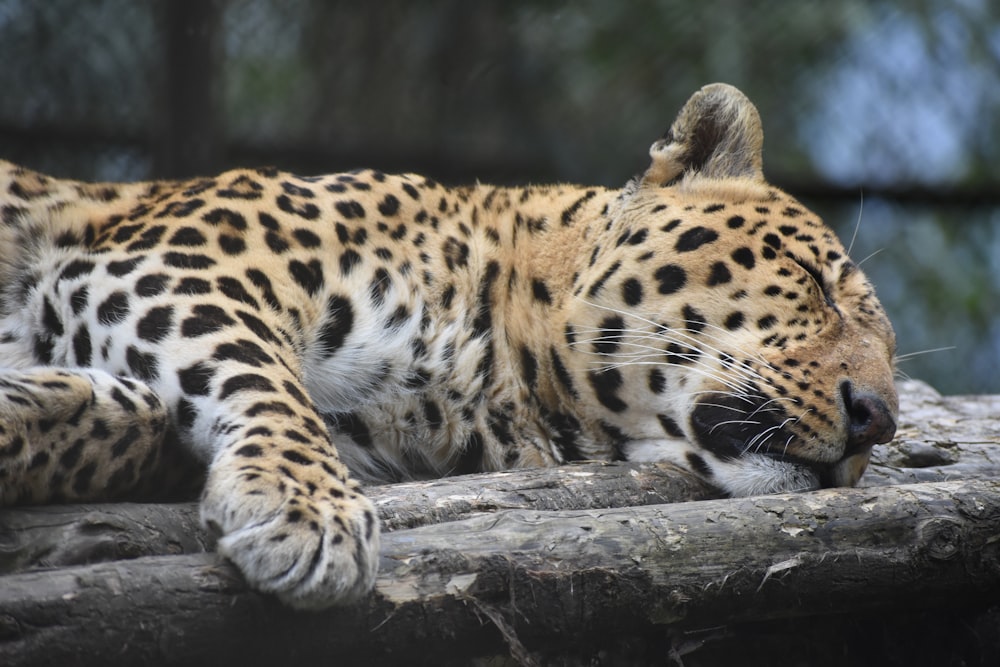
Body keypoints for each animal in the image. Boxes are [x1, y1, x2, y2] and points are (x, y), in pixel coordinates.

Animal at [0, 83, 900, 612]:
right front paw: (307, 508)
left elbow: (137, 414)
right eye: (813, 281)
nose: (879, 418)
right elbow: (263, 376)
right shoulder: (173, 264)